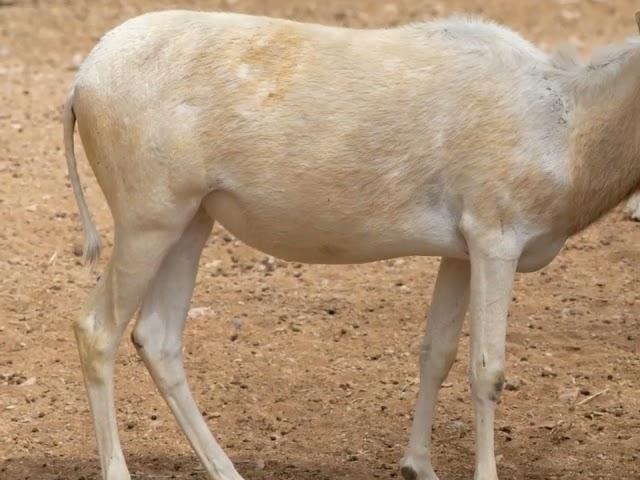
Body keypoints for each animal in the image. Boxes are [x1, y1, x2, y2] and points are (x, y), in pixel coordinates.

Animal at [62, 10, 640, 480]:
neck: (565, 119)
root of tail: (84, 80)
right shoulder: (496, 242)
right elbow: (488, 371)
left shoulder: (460, 254)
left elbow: (437, 353)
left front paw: (417, 467)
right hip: (148, 222)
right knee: (97, 330)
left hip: (191, 222)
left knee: (158, 337)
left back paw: (227, 470)